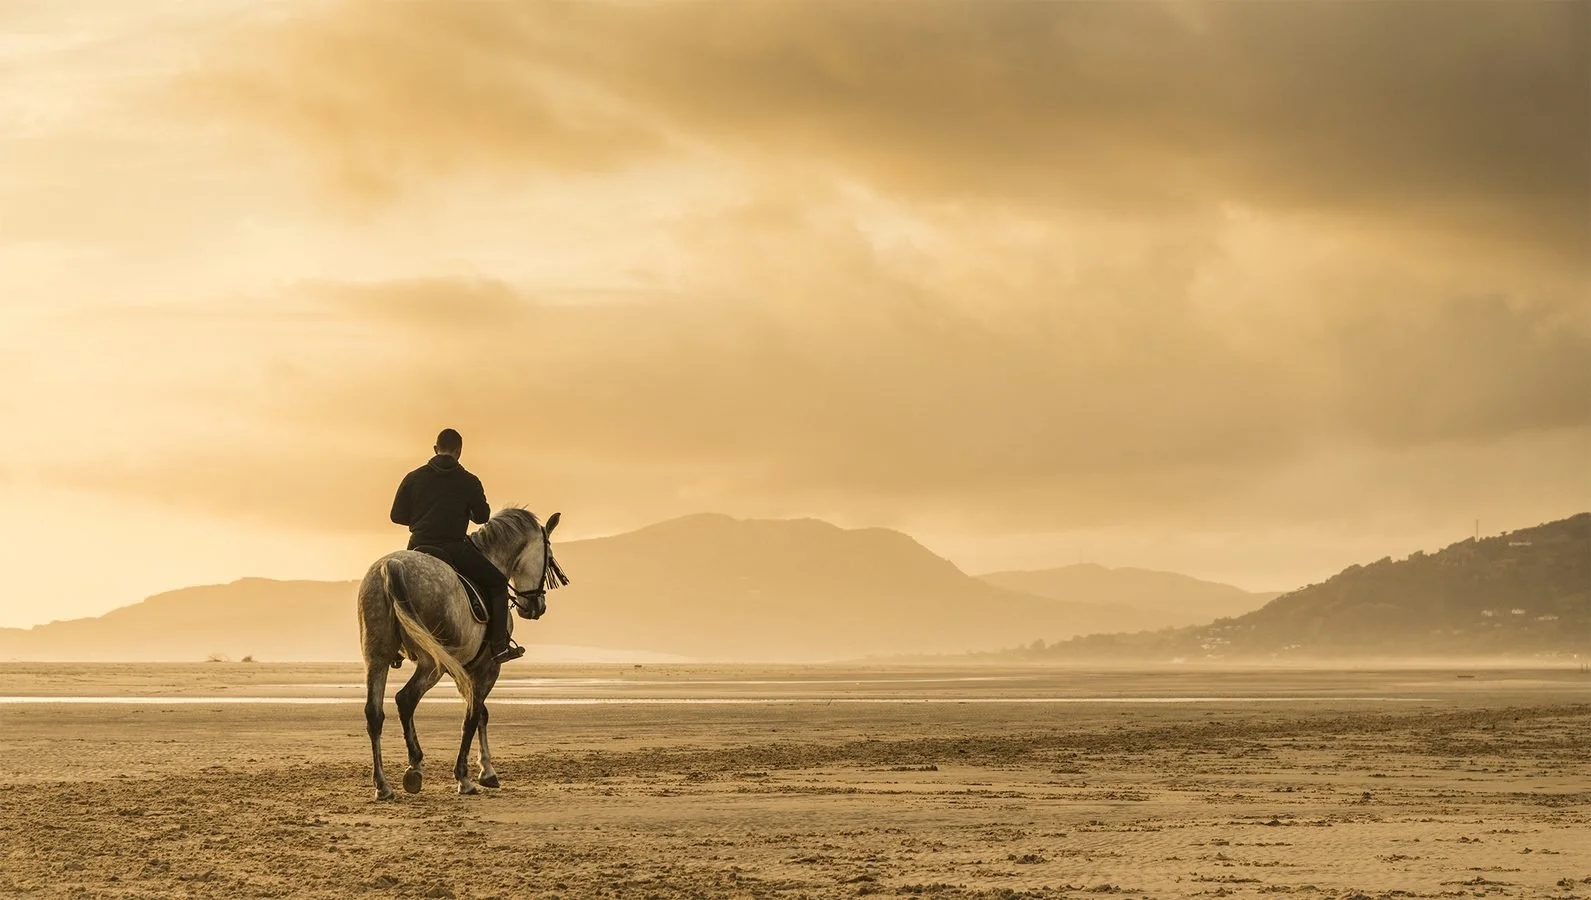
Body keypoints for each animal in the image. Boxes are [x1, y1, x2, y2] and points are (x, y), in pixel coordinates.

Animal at [357, 507, 566, 799]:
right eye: (548, 558)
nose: (537, 607)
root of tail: (392, 566)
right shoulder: (486, 668)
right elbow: (473, 715)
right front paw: (466, 777)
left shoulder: (465, 669)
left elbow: (481, 713)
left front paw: (486, 770)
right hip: (431, 661)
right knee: (406, 699)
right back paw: (414, 768)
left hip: (377, 657)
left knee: (374, 714)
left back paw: (383, 785)